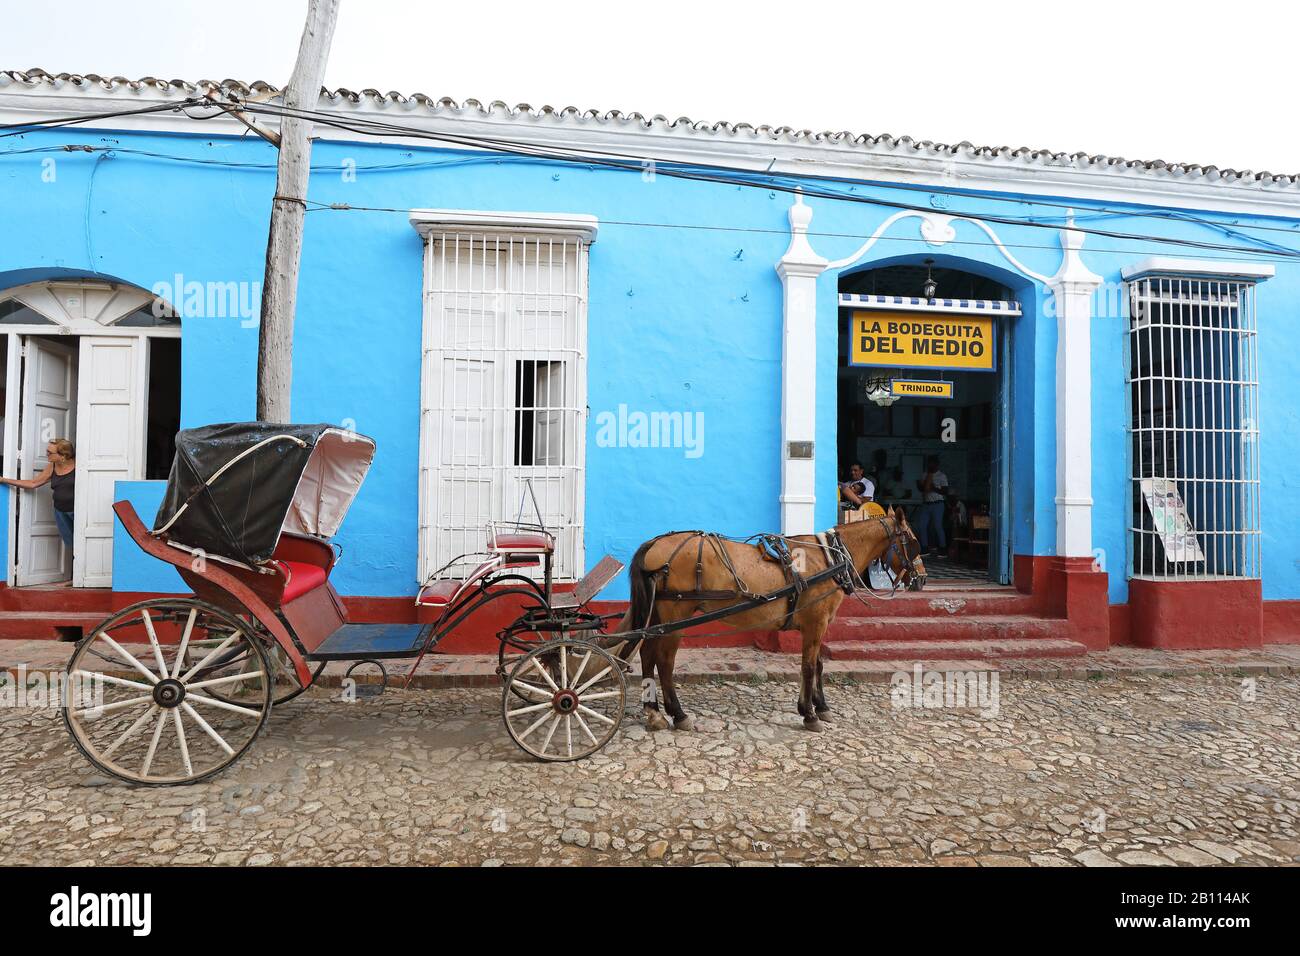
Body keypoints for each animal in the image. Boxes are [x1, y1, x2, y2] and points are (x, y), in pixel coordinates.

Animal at [608, 512, 925, 738]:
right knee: (664, 661)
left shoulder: (821, 624)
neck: (831, 559)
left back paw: (654, 712)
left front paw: (821, 707)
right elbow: (808, 667)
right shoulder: (815, 623)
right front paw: (809, 714)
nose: (921, 579)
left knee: (647, 654)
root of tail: (655, 543)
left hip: (659, 616)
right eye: (912, 541)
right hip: (675, 616)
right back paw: (678, 713)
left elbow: (819, 664)